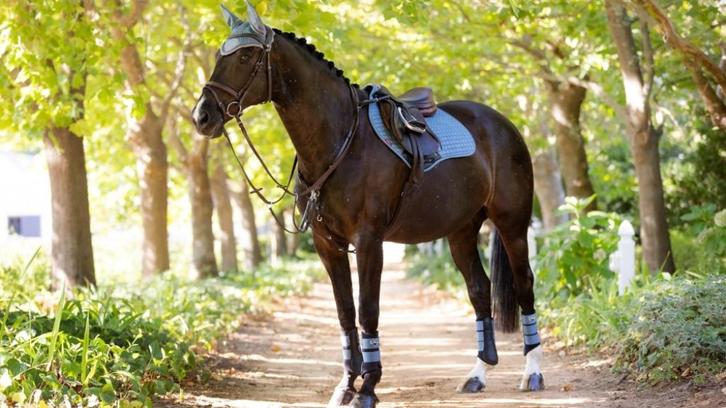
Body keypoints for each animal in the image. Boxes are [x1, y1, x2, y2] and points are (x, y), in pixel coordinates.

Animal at [192, 3, 543, 407]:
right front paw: (346, 385)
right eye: (219, 56)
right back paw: (477, 374)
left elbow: (367, 310)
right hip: (461, 232)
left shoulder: (369, 241)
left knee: (524, 284)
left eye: (245, 56)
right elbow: (345, 312)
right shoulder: (327, 245)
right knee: (480, 290)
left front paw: (369, 387)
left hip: (512, 224)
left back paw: (532, 372)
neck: (341, 140)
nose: (201, 116)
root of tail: (503, 124)